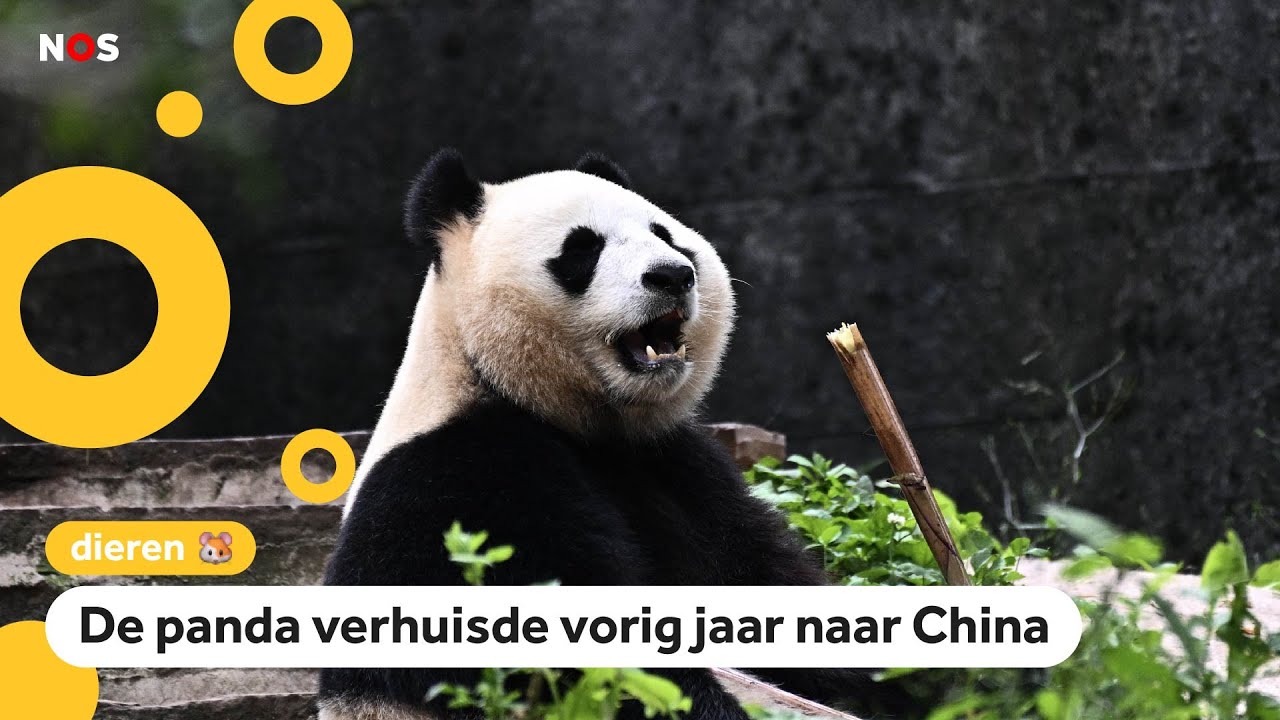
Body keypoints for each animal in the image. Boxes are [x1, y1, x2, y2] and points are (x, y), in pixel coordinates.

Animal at [319, 150, 910, 720]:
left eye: (666, 236)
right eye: (582, 249)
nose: (672, 275)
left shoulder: (677, 466)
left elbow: (763, 582)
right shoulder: (463, 480)